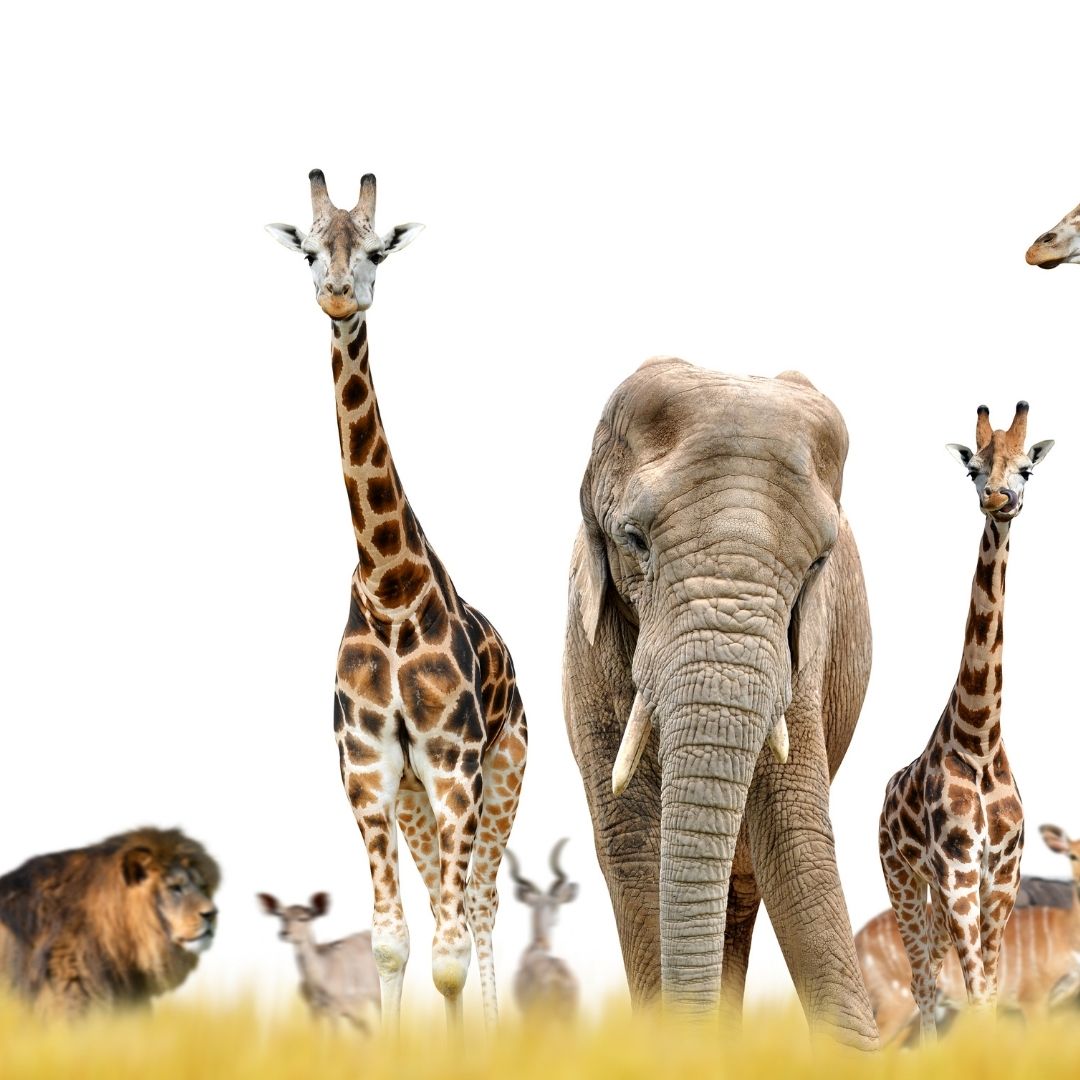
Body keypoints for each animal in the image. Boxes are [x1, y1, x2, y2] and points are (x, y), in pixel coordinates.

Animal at [562, 357, 878, 1047]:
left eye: (818, 563)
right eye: (634, 540)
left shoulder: (803, 651)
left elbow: (792, 832)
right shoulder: (588, 641)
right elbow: (632, 840)